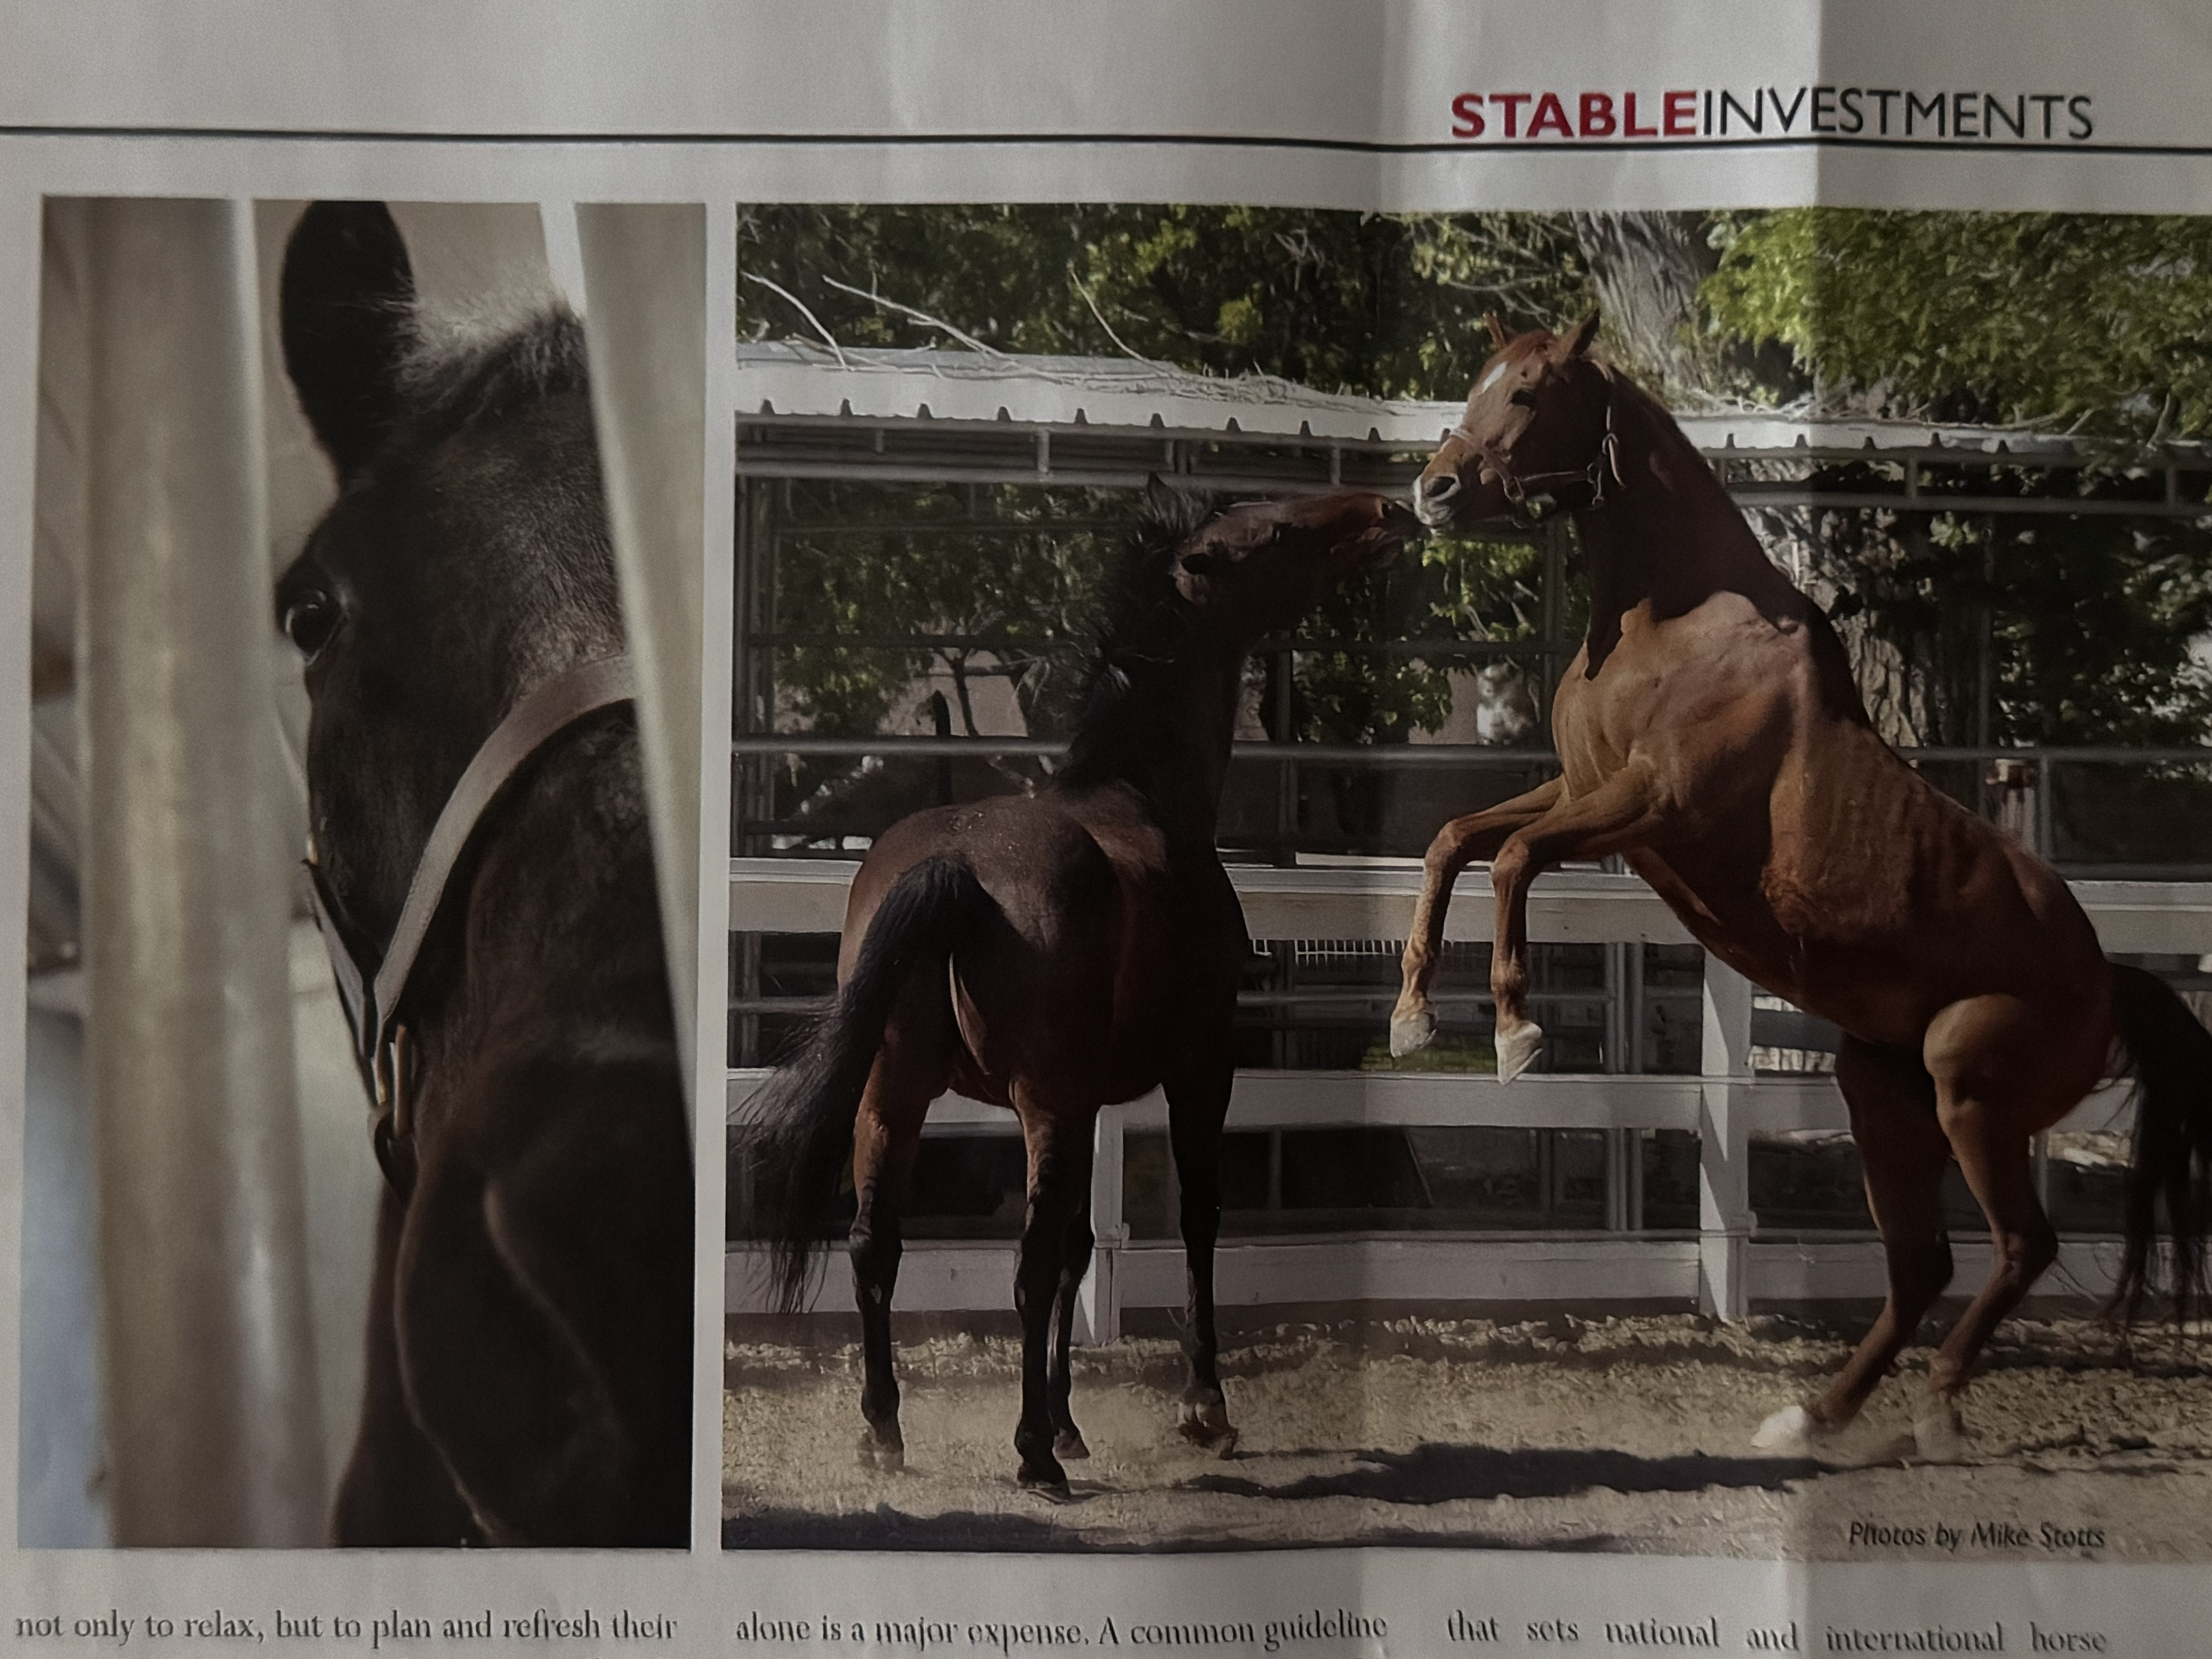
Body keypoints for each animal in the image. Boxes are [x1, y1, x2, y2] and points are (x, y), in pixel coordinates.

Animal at [746, 484, 1417, 1494]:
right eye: (1274, 532)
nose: (1385, 510)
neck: (1145, 798)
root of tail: (954, 868)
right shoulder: (1198, 1069)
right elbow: (1191, 1220)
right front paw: (1200, 1408)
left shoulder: (1092, 1100)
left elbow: (1079, 1249)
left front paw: (1070, 1421)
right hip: (1039, 1105)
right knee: (1019, 1266)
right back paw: (1029, 1456)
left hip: (892, 1098)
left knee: (876, 1244)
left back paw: (886, 1431)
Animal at [1390, 311, 2212, 1458]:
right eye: (1478, 380)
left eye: (1528, 394)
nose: (1435, 490)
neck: (1670, 625)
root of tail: (2108, 979)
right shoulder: (1579, 790)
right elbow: (1455, 842)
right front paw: (1413, 1018)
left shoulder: (1651, 807)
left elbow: (1510, 861)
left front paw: (1516, 1031)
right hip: (1883, 1095)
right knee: (1924, 1264)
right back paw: (1811, 1415)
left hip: (1970, 1096)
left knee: (2021, 1247)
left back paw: (1934, 1407)